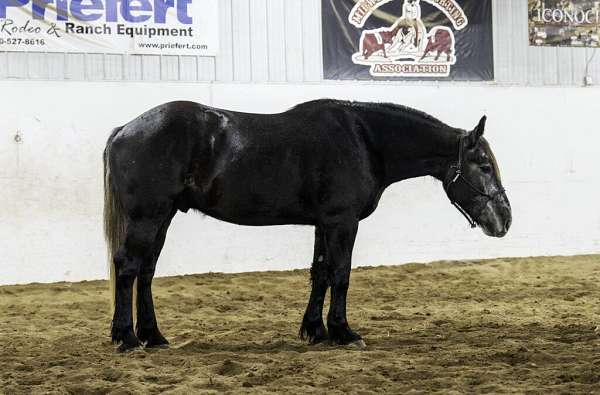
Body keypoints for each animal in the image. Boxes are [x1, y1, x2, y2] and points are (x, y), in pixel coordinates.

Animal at [103, 99, 510, 352]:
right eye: (484, 166)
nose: (505, 220)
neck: (364, 140)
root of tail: (125, 129)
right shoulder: (342, 222)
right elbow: (341, 274)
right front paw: (344, 333)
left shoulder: (323, 224)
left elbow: (321, 273)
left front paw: (316, 331)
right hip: (148, 216)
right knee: (128, 266)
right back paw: (127, 338)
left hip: (164, 216)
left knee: (146, 271)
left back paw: (154, 336)